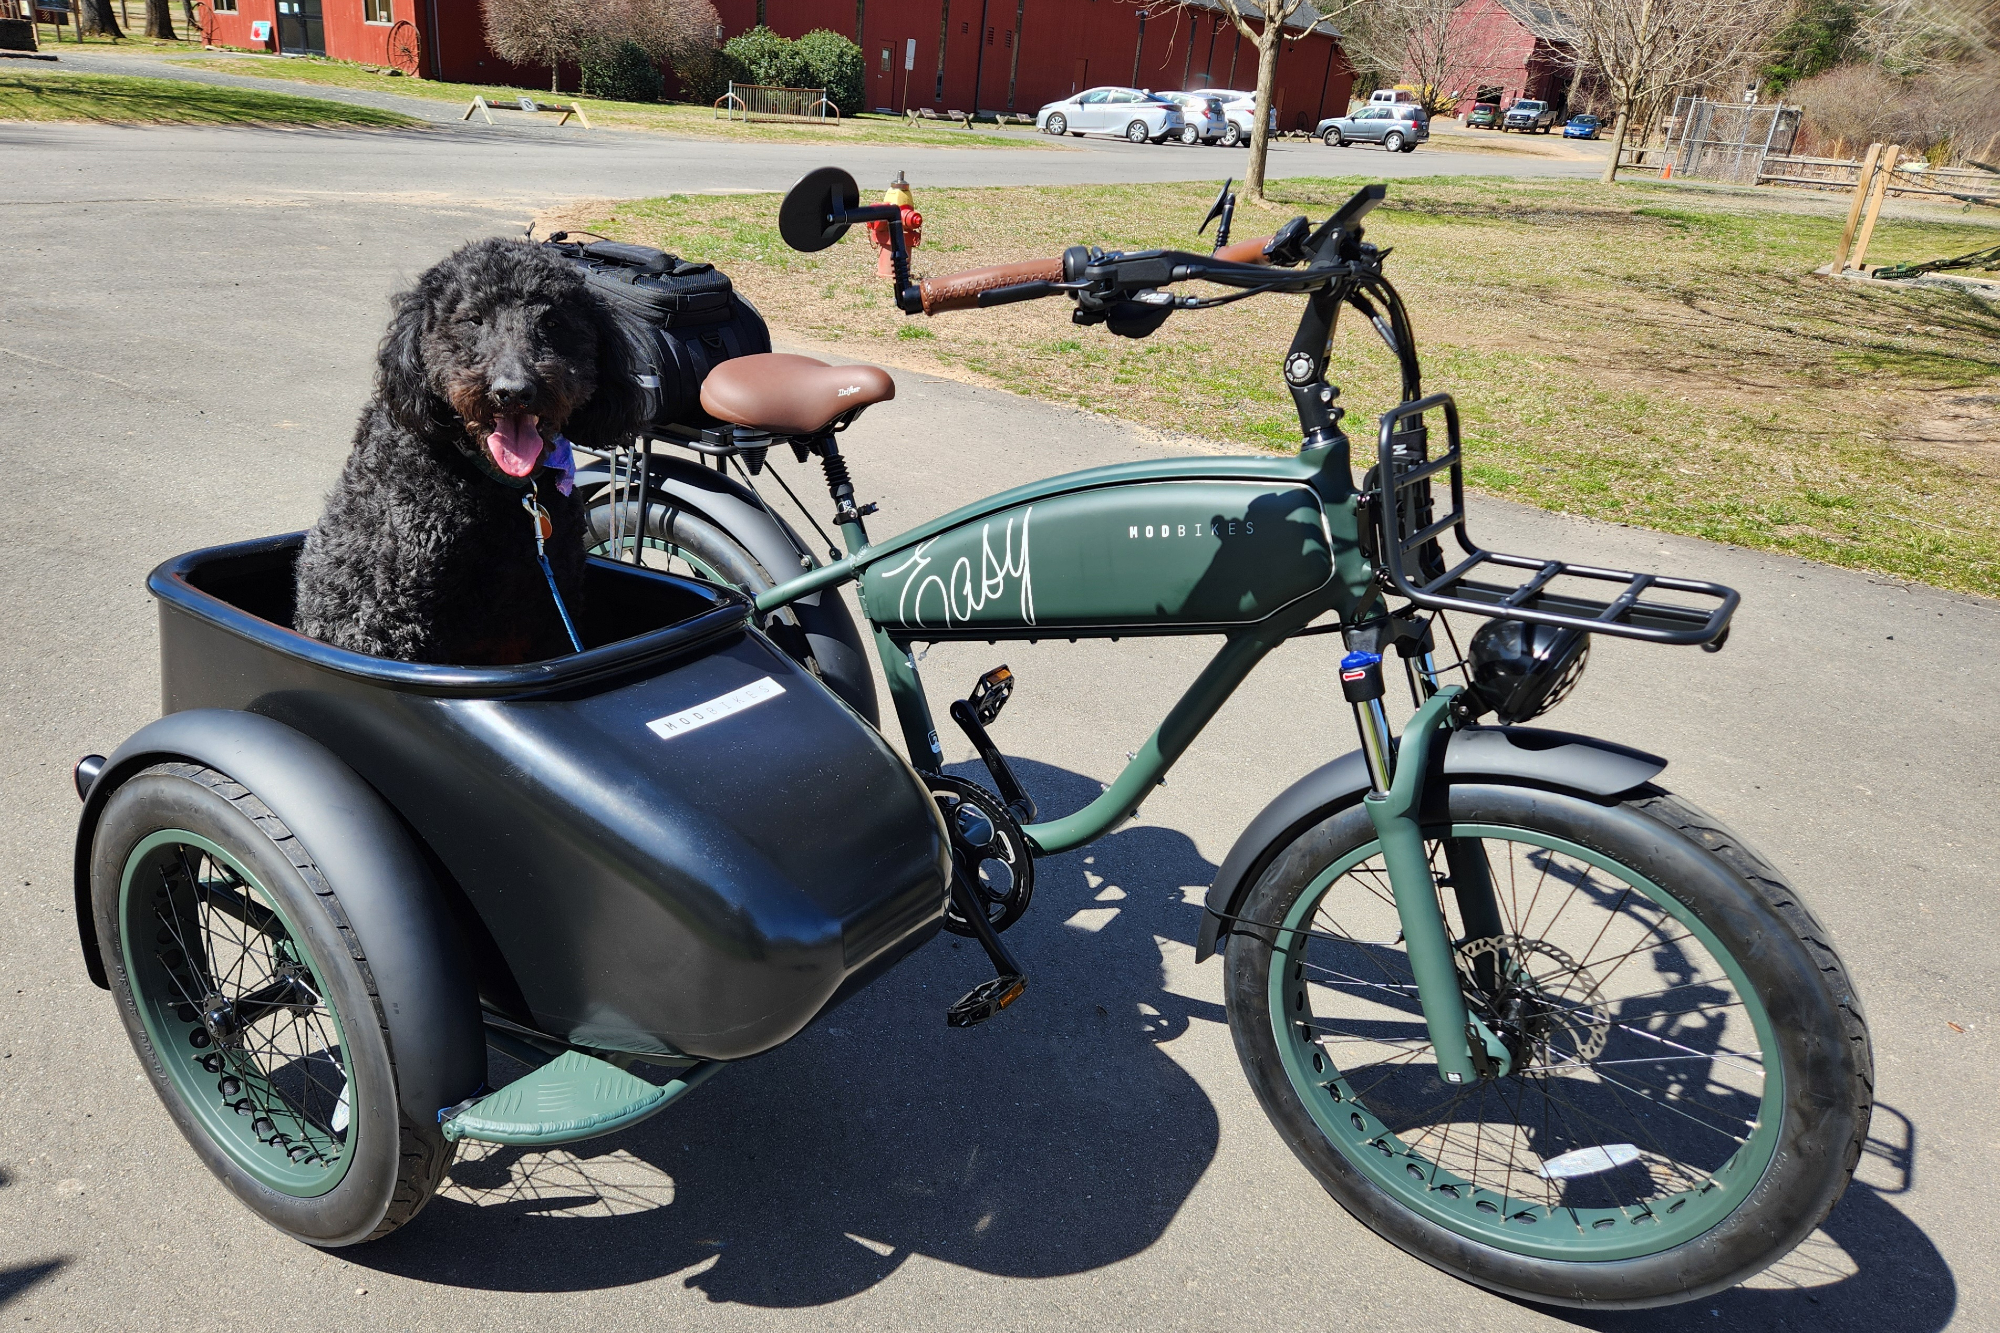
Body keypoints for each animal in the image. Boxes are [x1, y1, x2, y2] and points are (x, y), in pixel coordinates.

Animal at [292, 239, 640, 664]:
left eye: (553, 323)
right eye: (473, 320)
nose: (514, 392)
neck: (504, 489)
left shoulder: (555, 605)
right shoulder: (391, 617)